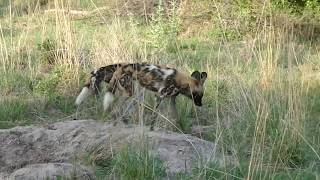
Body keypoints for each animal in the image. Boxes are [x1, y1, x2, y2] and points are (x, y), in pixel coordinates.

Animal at [76, 63, 209, 129]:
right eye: (200, 95)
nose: (201, 104)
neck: (182, 81)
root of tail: (121, 67)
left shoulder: (171, 100)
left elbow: (175, 117)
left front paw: (179, 129)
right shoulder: (159, 96)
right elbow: (154, 117)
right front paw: (151, 129)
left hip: (124, 91)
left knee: (116, 109)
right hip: (130, 92)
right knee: (116, 109)